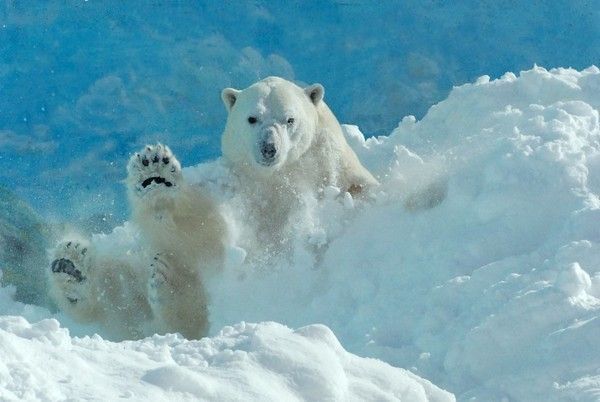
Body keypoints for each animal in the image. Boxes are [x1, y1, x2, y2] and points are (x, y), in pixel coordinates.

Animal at [48, 76, 376, 340]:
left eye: (290, 119)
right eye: (252, 118)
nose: (269, 148)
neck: (278, 179)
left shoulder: (337, 176)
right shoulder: (238, 190)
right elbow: (199, 231)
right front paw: (155, 174)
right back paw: (74, 266)